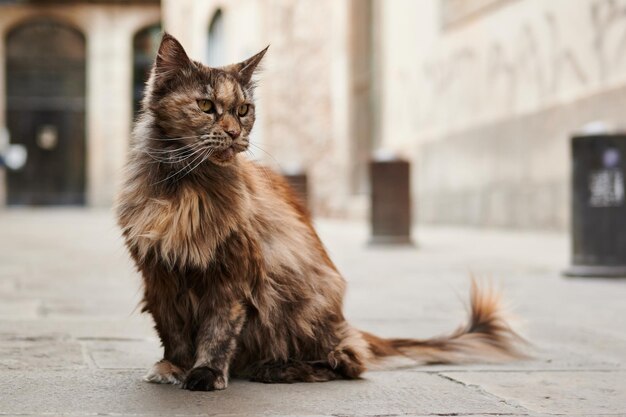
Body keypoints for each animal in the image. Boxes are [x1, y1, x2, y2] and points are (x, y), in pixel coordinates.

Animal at [114, 32, 524, 390]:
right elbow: (174, 332)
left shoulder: (231, 274)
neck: (185, 184)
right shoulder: (161, 275)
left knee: (347, 361)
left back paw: (275, 369)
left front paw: (206, 374)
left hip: (300, 300)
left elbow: (217, 332)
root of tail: (345, 323)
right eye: (205, 106)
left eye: (243, 110)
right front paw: (174, 368)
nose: (233, 133)